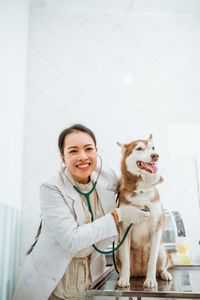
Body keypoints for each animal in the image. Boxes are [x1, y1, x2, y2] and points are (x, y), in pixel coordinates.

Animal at [116, 134, 173, 288]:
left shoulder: (156, 229)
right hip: (117, 250)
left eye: (153, 148)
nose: (155, 155)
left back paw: (164, 274)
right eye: (139, 148)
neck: (141, 191)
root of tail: (140, 273)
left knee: (162, 265)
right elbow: (126, 261)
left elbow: (152, 261)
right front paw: (124, 279)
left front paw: (151, 280)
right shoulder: (125, 229)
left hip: (162, 250)